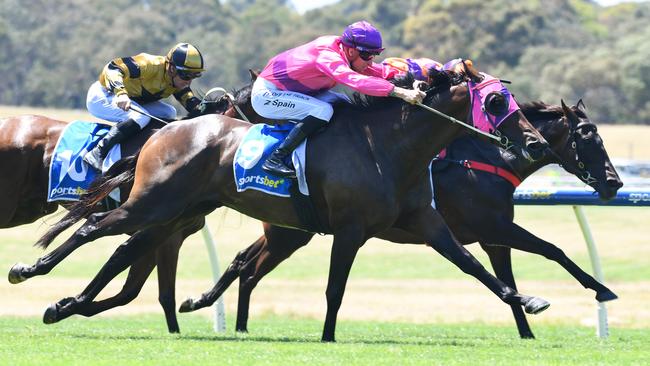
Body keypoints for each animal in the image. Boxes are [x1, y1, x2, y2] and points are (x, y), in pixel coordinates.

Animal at [12, 69, 548, 344]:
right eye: (497, 102)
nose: (535, 143)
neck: (389, 147)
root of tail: (163, 131)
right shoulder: (350, 228)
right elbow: (335, 288)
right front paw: (328, 337)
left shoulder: (426, 220)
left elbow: (473, 264)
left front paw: (527, 300)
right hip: (154, 203)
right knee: (93, 228)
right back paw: (30, 272)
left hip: (174, 211)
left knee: (119, 247)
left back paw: (65, 303)